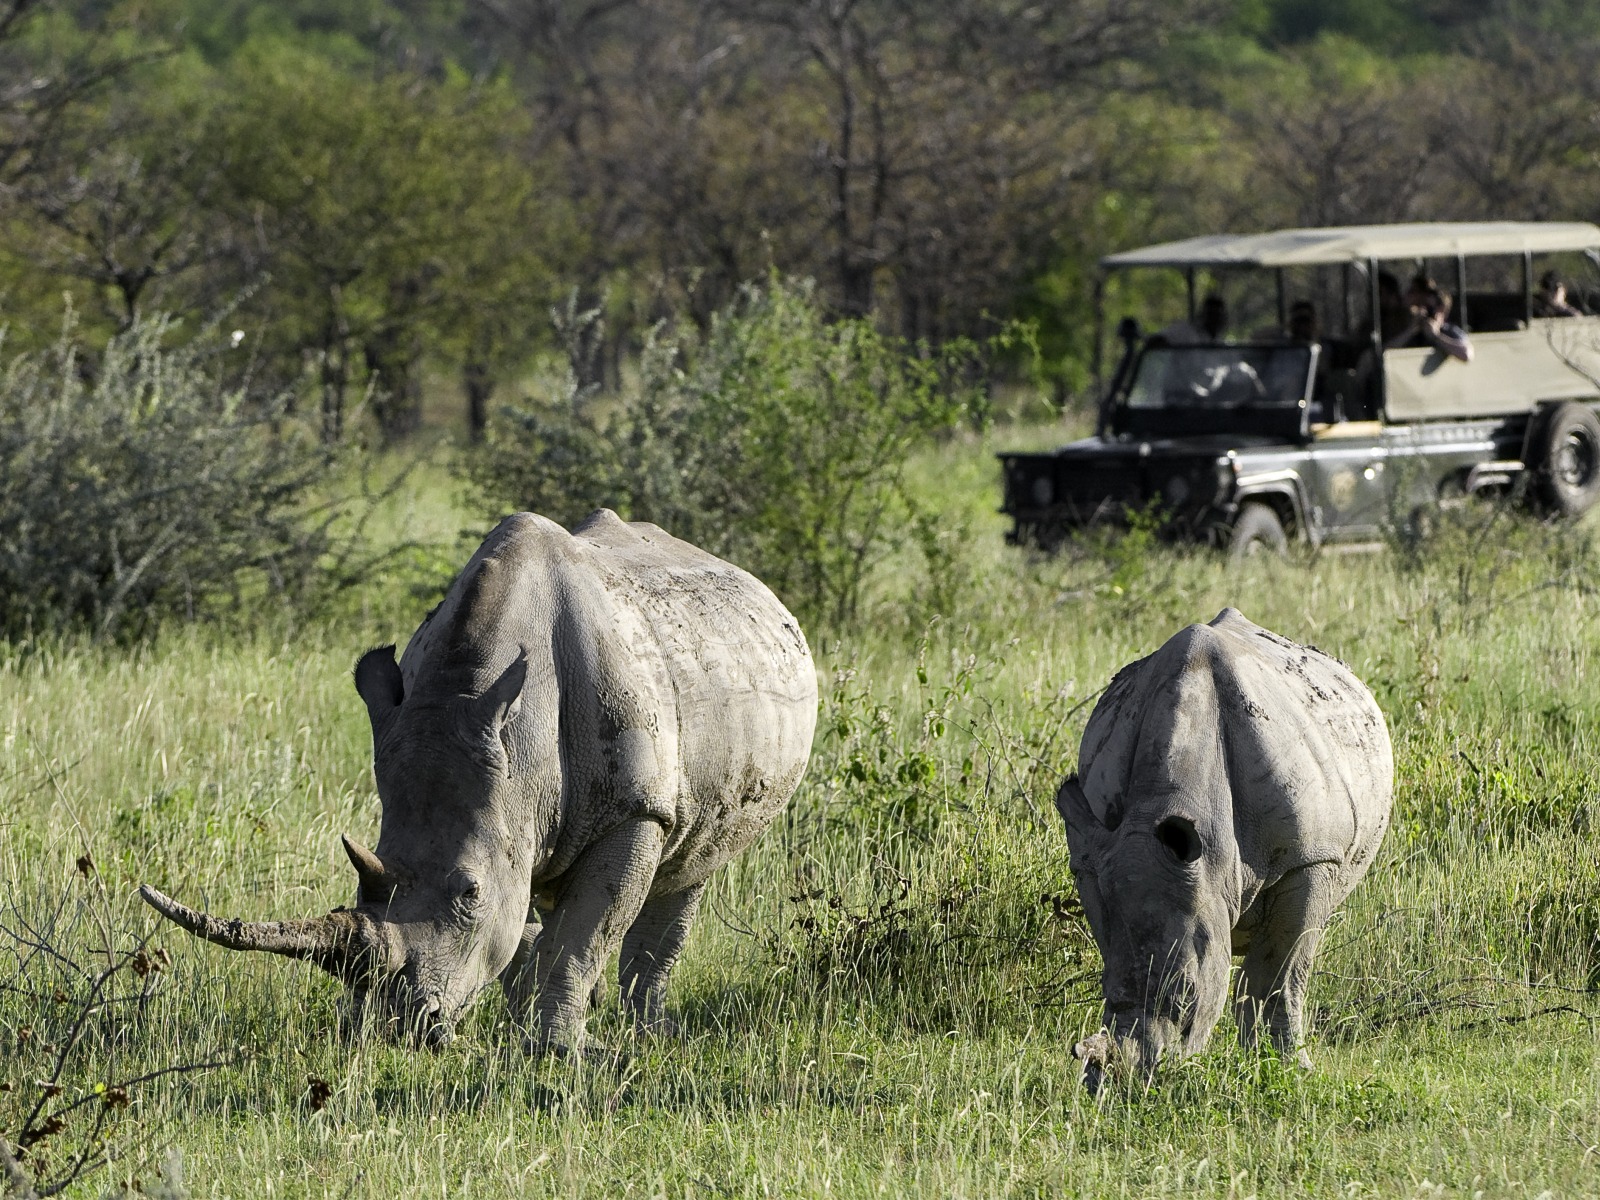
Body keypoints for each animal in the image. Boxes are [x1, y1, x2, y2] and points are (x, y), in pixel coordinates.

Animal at [141, 510, 818, 1053]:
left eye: (468, 892)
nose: (395, 1028)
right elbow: (525, 930)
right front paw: (529, 1024)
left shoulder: (635, 810)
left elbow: (583, 938)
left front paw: (555, 1051)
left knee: (691, 866)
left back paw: (649, 1033)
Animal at [1057, 608, 1391, 1091]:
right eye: (1104, 991)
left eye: (1187, 1001)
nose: (1128, 1084)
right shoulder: (1093, 863)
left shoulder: (1310, 859)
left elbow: (1278, 972)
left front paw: (1284, 1070)